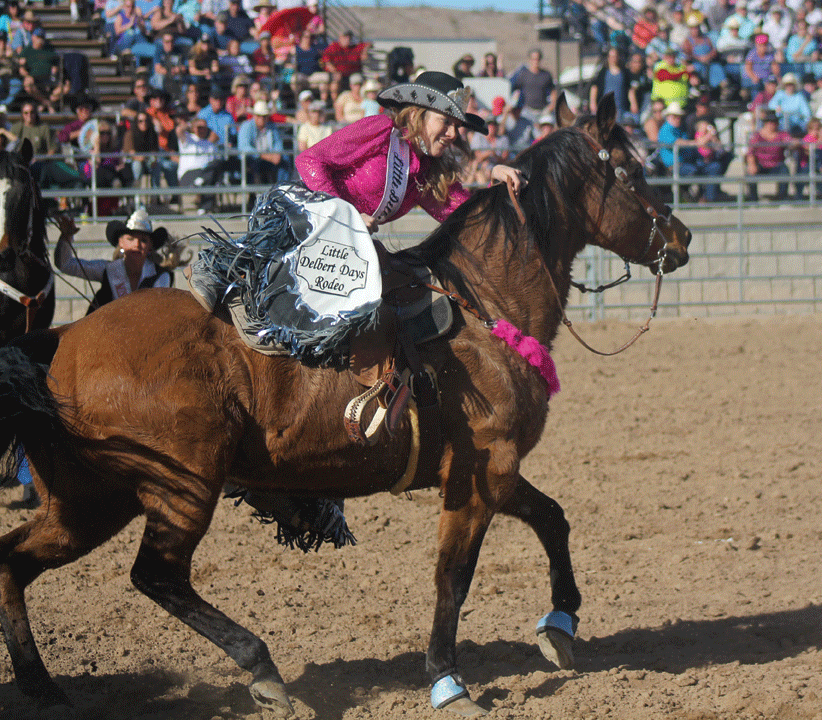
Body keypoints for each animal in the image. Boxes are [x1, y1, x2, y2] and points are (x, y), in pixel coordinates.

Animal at [0, 95, 688, 716]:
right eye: (632, 172)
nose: (680, 238)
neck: (483, 303)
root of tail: (62, 339)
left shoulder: (493, 468)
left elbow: (553, 519)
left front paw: (560, 626)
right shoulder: (480, 471)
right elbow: (454, 576)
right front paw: (447, 680)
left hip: (89, 499)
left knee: (14, 560)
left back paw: (41, 686)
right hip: (179, 489)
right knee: (156, 575)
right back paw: (263, 669)